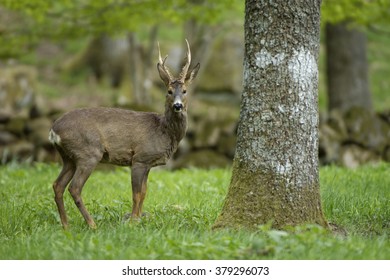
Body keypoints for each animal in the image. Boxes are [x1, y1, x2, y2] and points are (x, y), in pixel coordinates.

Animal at [49, 40, 200, 229]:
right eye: (169, 91)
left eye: (185, 90)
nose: (178, 105)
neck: (163, 130)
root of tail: (54, 130)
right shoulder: (140, 158)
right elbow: (136, 193)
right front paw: (133, 222)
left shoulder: (149, 163)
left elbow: (144, 192)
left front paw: (139, 219)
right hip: (88, 152)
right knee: (74, 187)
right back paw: (92, 224)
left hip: (68, 157)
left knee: (58, 185)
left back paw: (66, 225)